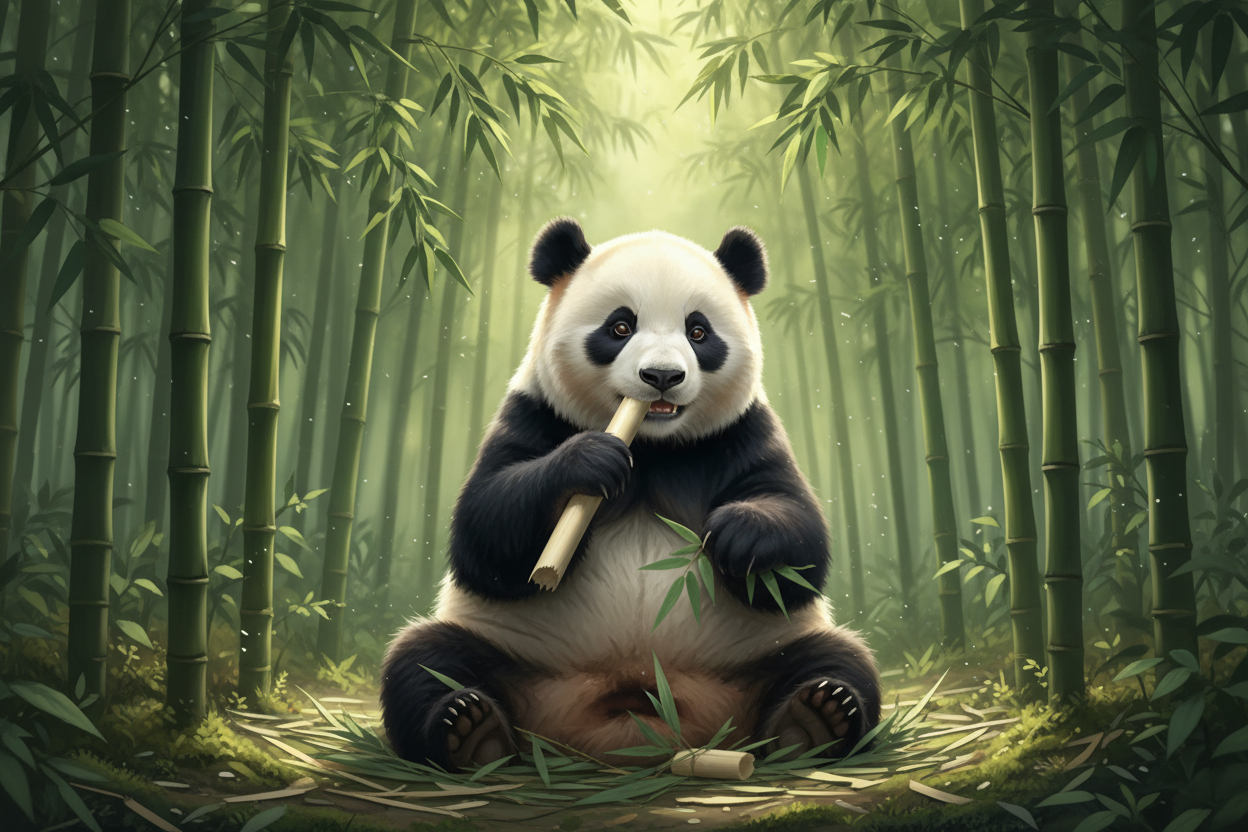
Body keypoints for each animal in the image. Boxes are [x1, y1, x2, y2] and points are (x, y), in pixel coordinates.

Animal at [381, 218, 881, 771]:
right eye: (620, 327)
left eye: (698, 331)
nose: (662, 377)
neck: (652, 447)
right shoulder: (534, 413)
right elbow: (484, 534)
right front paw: (589, 462)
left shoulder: (742, 434)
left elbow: (800, 544)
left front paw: (739, 535)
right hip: (508, 647)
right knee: (426, 660)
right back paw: (469, 730)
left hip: (761, 650)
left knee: (840, 660)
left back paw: (814, 719)